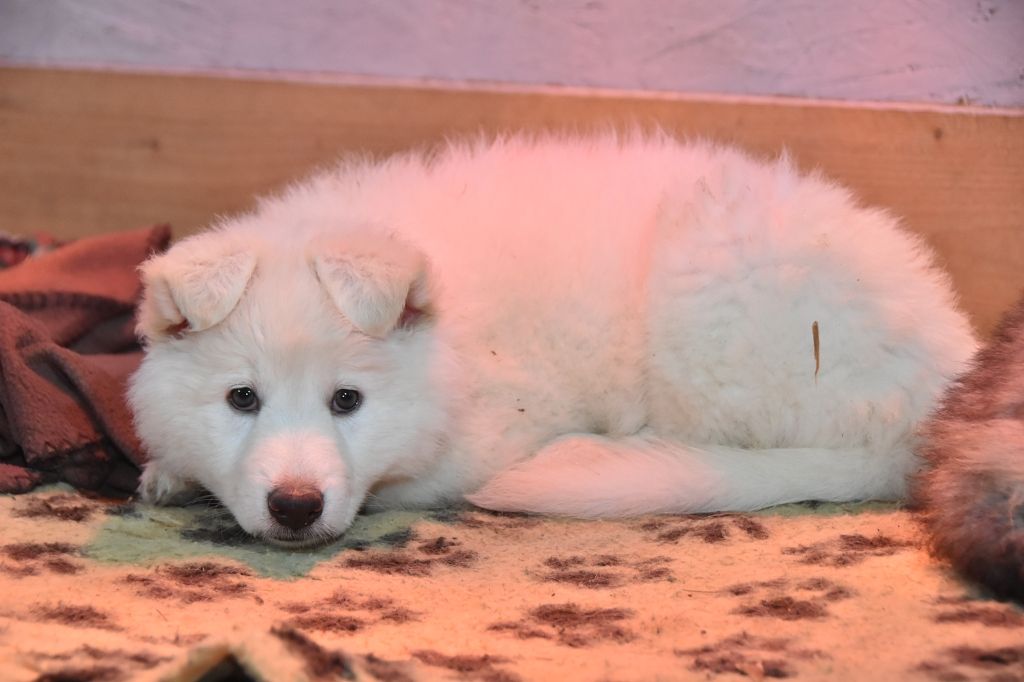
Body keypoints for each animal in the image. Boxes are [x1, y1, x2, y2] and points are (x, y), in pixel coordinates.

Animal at [128, 134, 977, 547]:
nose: (297, 506)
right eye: (241, 399)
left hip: (710, 295)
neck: (449, 355)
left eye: (348, 401)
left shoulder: (481, 436)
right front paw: (170, 473)